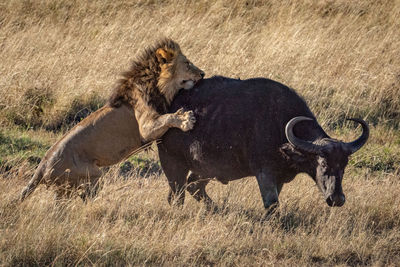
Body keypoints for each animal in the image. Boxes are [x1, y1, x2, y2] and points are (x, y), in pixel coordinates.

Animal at [20, 39, 205, 202]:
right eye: (187, 63)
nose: (203, 74)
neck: (157, 84)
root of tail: (42, 165)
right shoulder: (145, 128)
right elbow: (167, 117)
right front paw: (185, 119)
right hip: (91, 175)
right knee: (84, 196)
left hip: (66, 188)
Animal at [157, 76, 368, 210]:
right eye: (323, 163)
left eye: (344, 165)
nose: (337, 199)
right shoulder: (264, 173)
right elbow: (272, 205)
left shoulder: (279, 178)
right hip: (173, 164)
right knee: (178, 196)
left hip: (205, 169)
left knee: (192, 188)